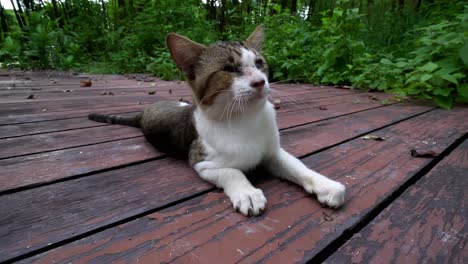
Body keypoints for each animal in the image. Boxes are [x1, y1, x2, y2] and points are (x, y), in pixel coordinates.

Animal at [88, 24, 344, 216]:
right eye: (229, 69)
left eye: (259, 63)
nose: (260, 82)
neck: (245, 118)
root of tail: (144, 112)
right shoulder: (201, 162)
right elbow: (231, 171)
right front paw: (247, 193)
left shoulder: (272, 152)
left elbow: (297, 166)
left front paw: (325, 184)